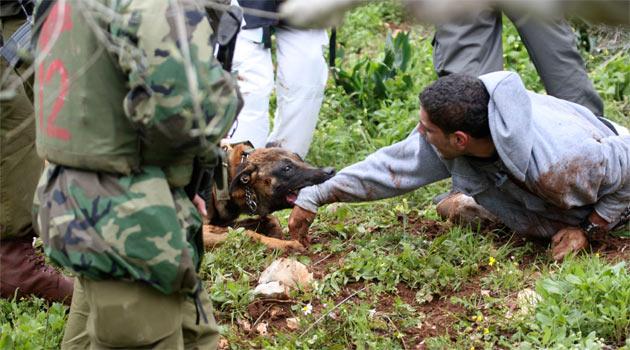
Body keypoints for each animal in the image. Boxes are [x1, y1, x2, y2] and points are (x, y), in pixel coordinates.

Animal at [202, 143, 336, 252]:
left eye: (300, 159)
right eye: (287, 168)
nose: (331, 171)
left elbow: (271, 219)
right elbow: (247, 234)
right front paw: (285, 245)